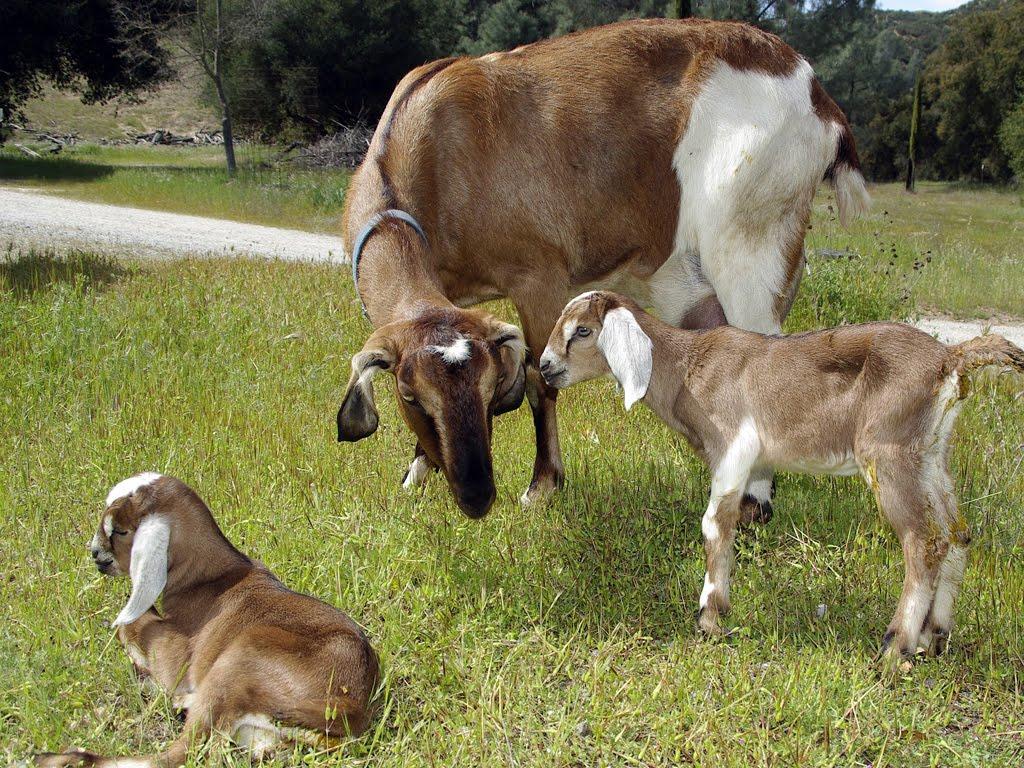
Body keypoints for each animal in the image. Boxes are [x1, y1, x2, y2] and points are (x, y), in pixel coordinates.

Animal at [36, 473, 379, 767]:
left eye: (119, 531)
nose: (95, 553)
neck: (211, 577)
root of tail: (348, 708)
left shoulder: (176, 657)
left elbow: (130, 625)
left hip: (239, 660)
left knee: (175, 754)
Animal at [338, 18, 868, 518]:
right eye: (409, 395)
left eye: (488, 386)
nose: (477, 497)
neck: (436, 147)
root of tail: (817, 96)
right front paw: (414, 475)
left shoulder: (538, 277)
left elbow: (540, 378)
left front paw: (542, 488)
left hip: (751, 243)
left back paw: (754, 504)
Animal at [540, 291, 1024, 657]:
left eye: (582, 331)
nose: (544, 367)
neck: (686, 366)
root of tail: (951, 358)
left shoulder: (733, 446)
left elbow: (715, 525)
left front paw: (709, 619)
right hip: (929, 453)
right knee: (956, 532)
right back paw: (933, 637)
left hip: (889, 452)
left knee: (923, 541)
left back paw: (895, 648)